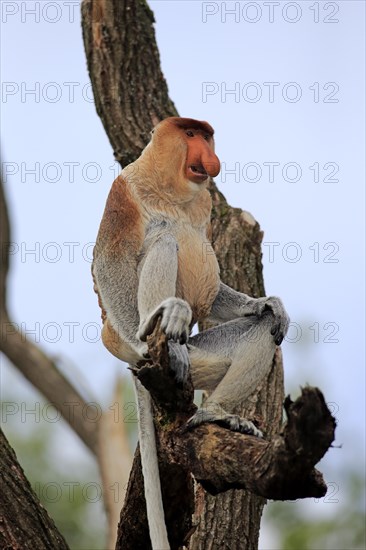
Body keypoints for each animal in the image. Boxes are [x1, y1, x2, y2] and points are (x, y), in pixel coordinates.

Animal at [91, 117, 288, 550]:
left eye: (206, 135)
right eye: (190, 134)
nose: (208, 155)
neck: (172, 190)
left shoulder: (204, 206)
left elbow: (260, 315)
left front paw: (265, 304)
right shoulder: (124, 189)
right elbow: (110, 260)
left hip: (203, 356)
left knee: (261, 333)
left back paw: (219, 414)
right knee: (163, 240)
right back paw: (158, 327)